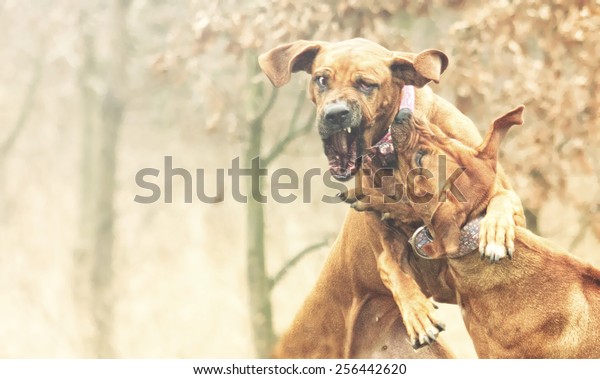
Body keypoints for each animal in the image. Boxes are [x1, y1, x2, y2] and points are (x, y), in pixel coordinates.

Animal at [260, 39, 524, 360]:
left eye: (366, 84)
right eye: (321, 80)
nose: (335, 114)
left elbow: (501, 200)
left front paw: (495, 232)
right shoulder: (387, 251)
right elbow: (393, 269)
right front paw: (417, 313)